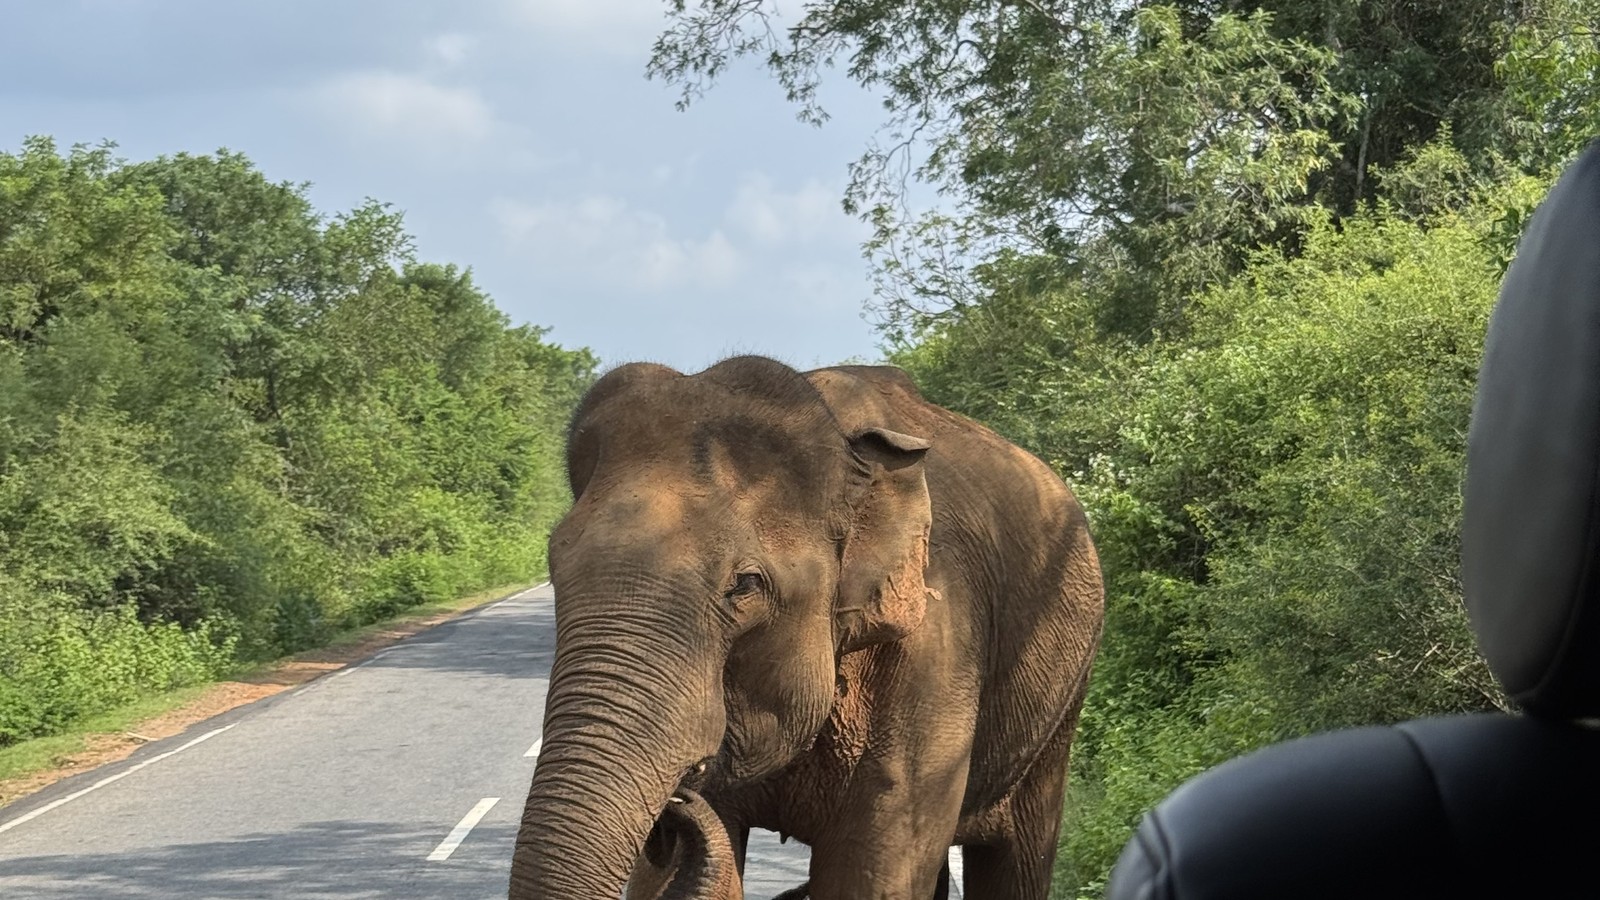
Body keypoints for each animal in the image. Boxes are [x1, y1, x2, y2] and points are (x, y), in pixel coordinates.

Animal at [508, 356, 1105, 900]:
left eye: (745, 585)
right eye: (555, 567)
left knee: (1017, 855)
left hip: (1063, 698)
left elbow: (871, 881)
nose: (673, 809)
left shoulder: (938, 647)